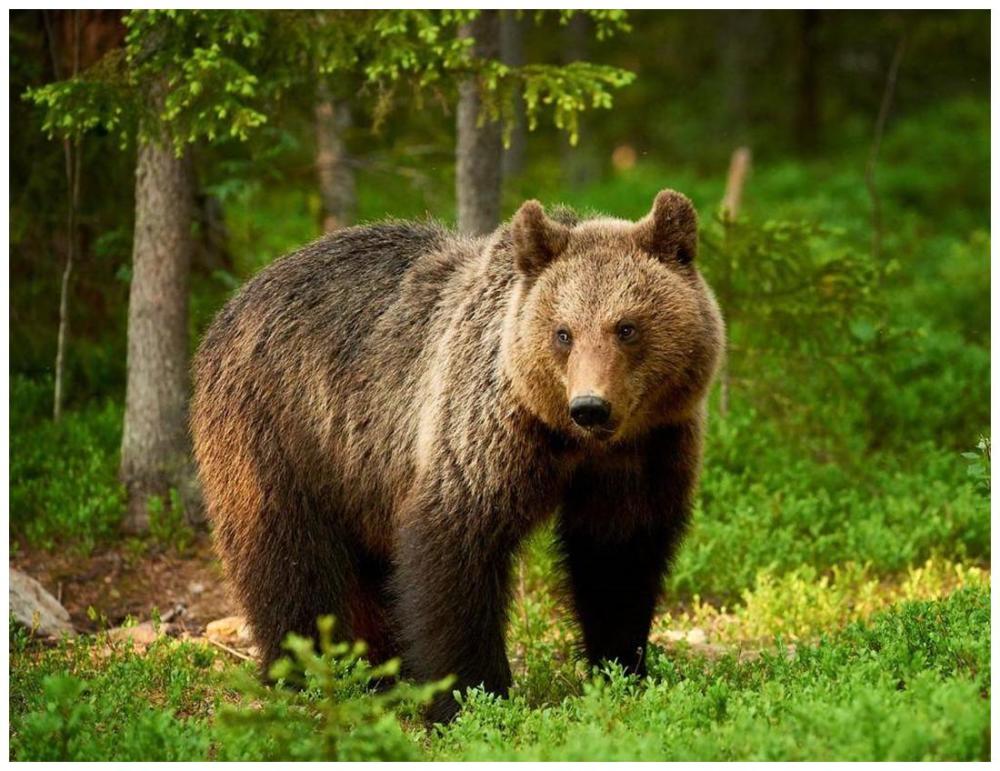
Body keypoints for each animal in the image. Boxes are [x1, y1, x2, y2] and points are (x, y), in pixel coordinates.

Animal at [191, 188, 728, 724]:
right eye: (563, 332)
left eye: (626, 327)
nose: (590, 407)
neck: (569, 440)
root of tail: (234, 301)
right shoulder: (485, 431)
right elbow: (456, 549)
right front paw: (472, 695)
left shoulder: (645, 450)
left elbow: (617, 557)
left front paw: (623, 668)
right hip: (281, 434)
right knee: (288, 559)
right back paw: (308, 674)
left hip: (358, 474)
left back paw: (377, 674)